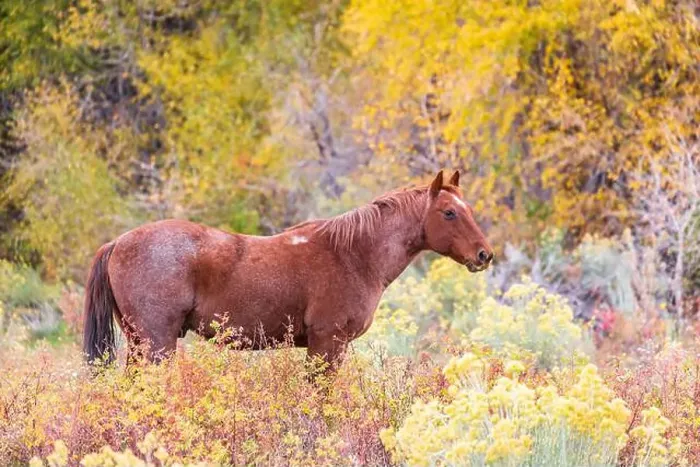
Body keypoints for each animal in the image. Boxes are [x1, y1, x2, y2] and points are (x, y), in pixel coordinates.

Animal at [83, 170, 494, 371]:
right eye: (449, 212)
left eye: (468, 208)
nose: (484, 254)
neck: (353, 254)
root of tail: (117, 242)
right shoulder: (327, 343)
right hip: (156, 342)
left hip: (141, 342)